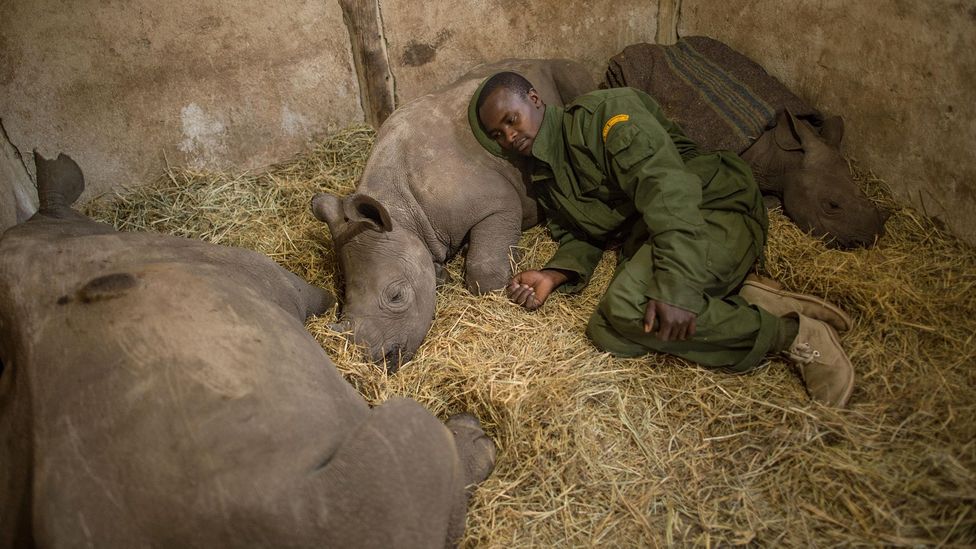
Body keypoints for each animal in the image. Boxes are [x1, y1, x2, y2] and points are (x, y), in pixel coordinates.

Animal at [312, 59, 595, 371]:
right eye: (342, 297)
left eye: (397, 296)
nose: (372, 361)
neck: (399, 209)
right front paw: (442, 274)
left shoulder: (498, 203)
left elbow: (483, 270)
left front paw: (505, 280)